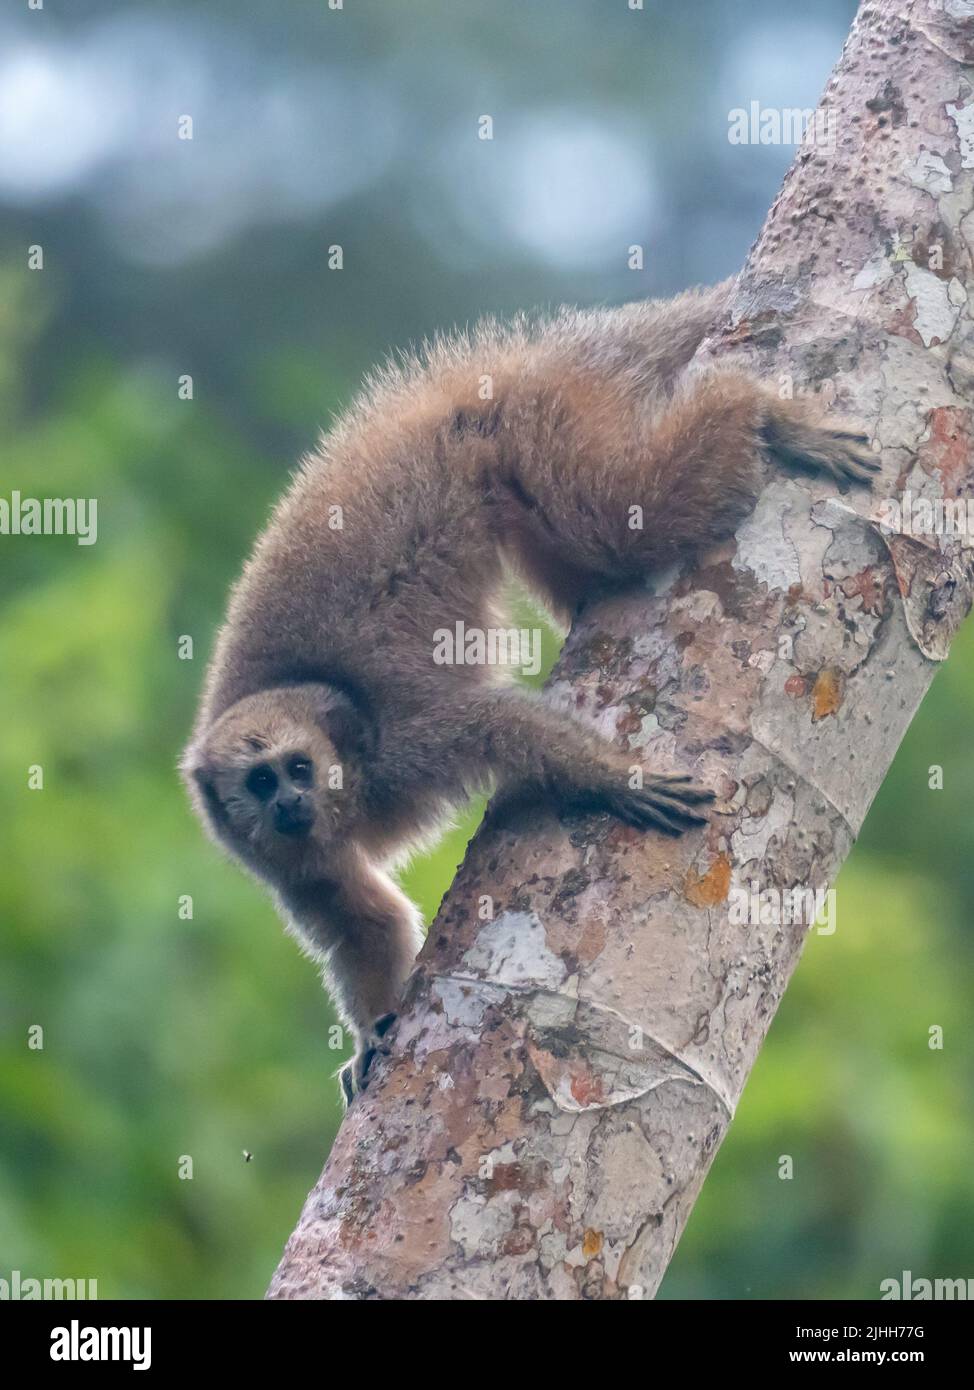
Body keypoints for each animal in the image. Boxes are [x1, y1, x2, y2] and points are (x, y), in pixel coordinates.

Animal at [180, 282, 872, 1100]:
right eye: (260, 783)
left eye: (296, 768)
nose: (289, 802)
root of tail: (499, 368)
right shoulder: (283, 866)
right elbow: (364, 926)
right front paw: (370, 1037)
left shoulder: (400, 743)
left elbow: (495, 723)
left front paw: (611, 779)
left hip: (542, 417)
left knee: (619, 514)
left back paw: (759, 412)